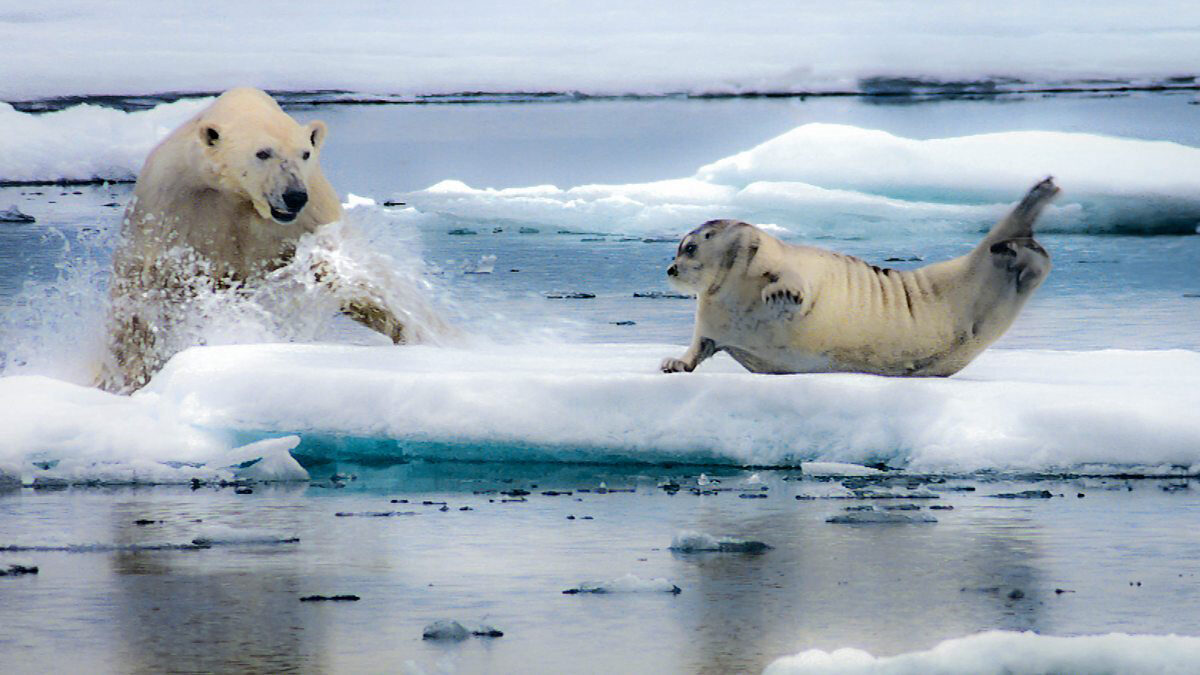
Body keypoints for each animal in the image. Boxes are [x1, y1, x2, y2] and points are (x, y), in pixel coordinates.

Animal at [97, 86, 432, 391]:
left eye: (304, 153)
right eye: (263, 152)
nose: (294, 195)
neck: (238, 197)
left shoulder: (310, 214)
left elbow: (348, 274)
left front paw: (414, 334)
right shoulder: (172, 205)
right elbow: (148, 291)